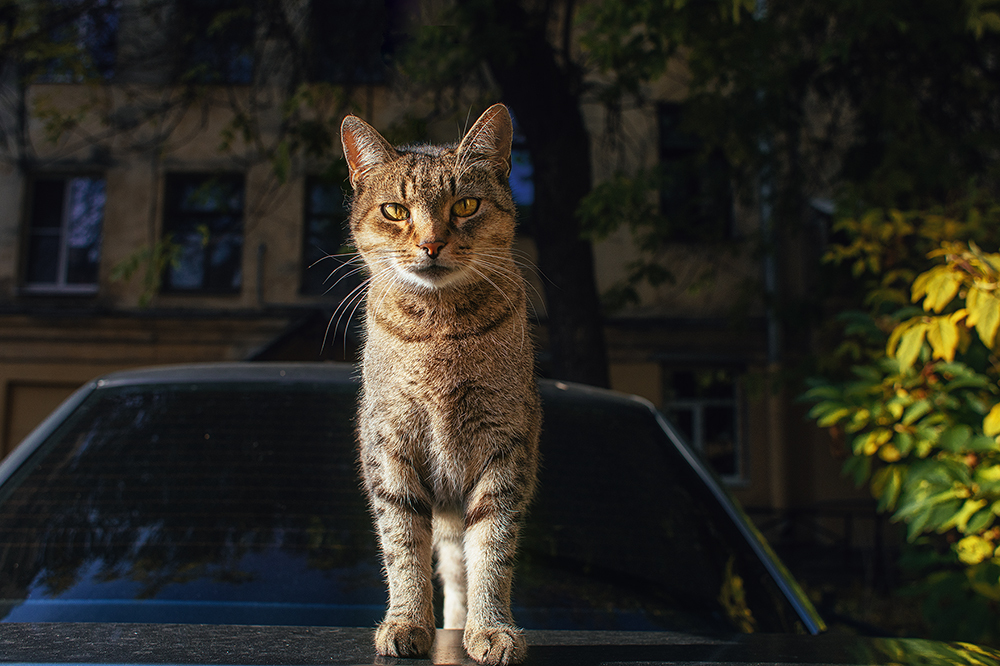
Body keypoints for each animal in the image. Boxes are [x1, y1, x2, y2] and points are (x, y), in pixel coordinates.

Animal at [340, 105, 544, 664]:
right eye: (395, 211)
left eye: (465, 205)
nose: (431, 244)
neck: (439, 328)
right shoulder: (388, 445)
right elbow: (402, 543)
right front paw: (406, 622)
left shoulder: (506, 446)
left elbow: (493, 549)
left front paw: (492, 629)